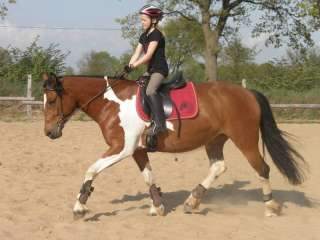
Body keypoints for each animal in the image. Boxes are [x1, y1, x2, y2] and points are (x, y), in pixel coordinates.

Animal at [42, 71, 304, 219]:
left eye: (52, 100)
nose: (48, 132)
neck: (111, 102)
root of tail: (248, 93)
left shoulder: (122, 148)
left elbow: (91, 170)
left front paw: (79, 207)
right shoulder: (137, 151)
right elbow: (149, 178)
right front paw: (157, 207)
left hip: (245, 139)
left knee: (262, 168)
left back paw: (271, 207)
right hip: (214, 140)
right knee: (218, 167)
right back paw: (192, 201)